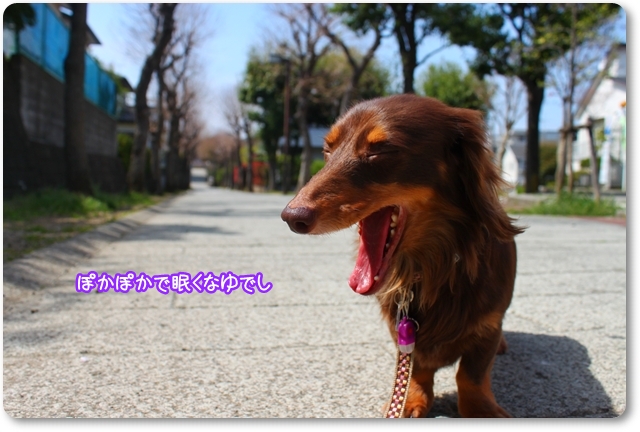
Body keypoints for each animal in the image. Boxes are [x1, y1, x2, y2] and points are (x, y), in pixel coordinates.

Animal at [281, 94, 523, 418]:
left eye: (381, 150)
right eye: (327, 150)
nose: (292, 216)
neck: (436, 268)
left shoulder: (488, 326)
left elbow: (471, 374)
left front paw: (480, 409)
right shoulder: (401, 331)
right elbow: (416, 366)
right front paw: (410, 400)